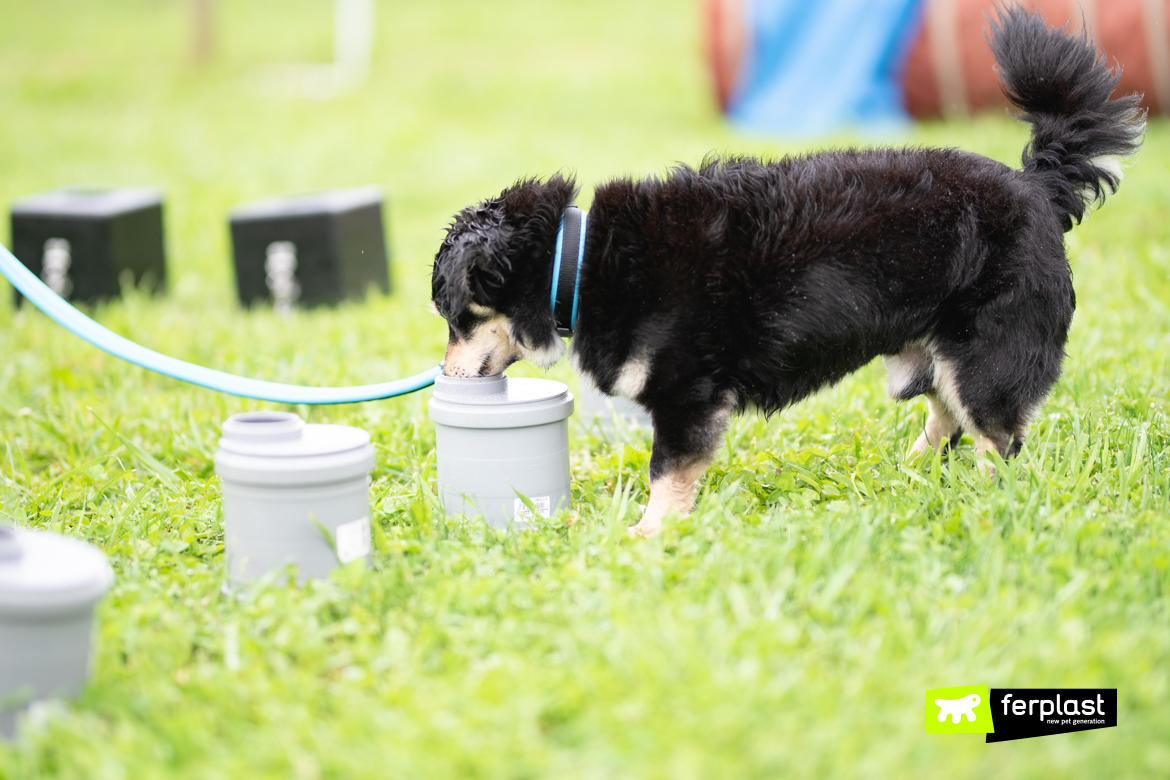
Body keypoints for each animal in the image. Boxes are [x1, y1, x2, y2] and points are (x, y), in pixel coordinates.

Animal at [428, 9, 1141, 537]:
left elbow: (668, 473)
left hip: (987, 356)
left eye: (457, 318)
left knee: (998, 440)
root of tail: (1039, 187)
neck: (576, 261)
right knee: (947, 419)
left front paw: (649, 535)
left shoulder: (687, 395)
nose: (444, 378)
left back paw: (986, 503)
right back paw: (909, 479)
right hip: (944, 352)